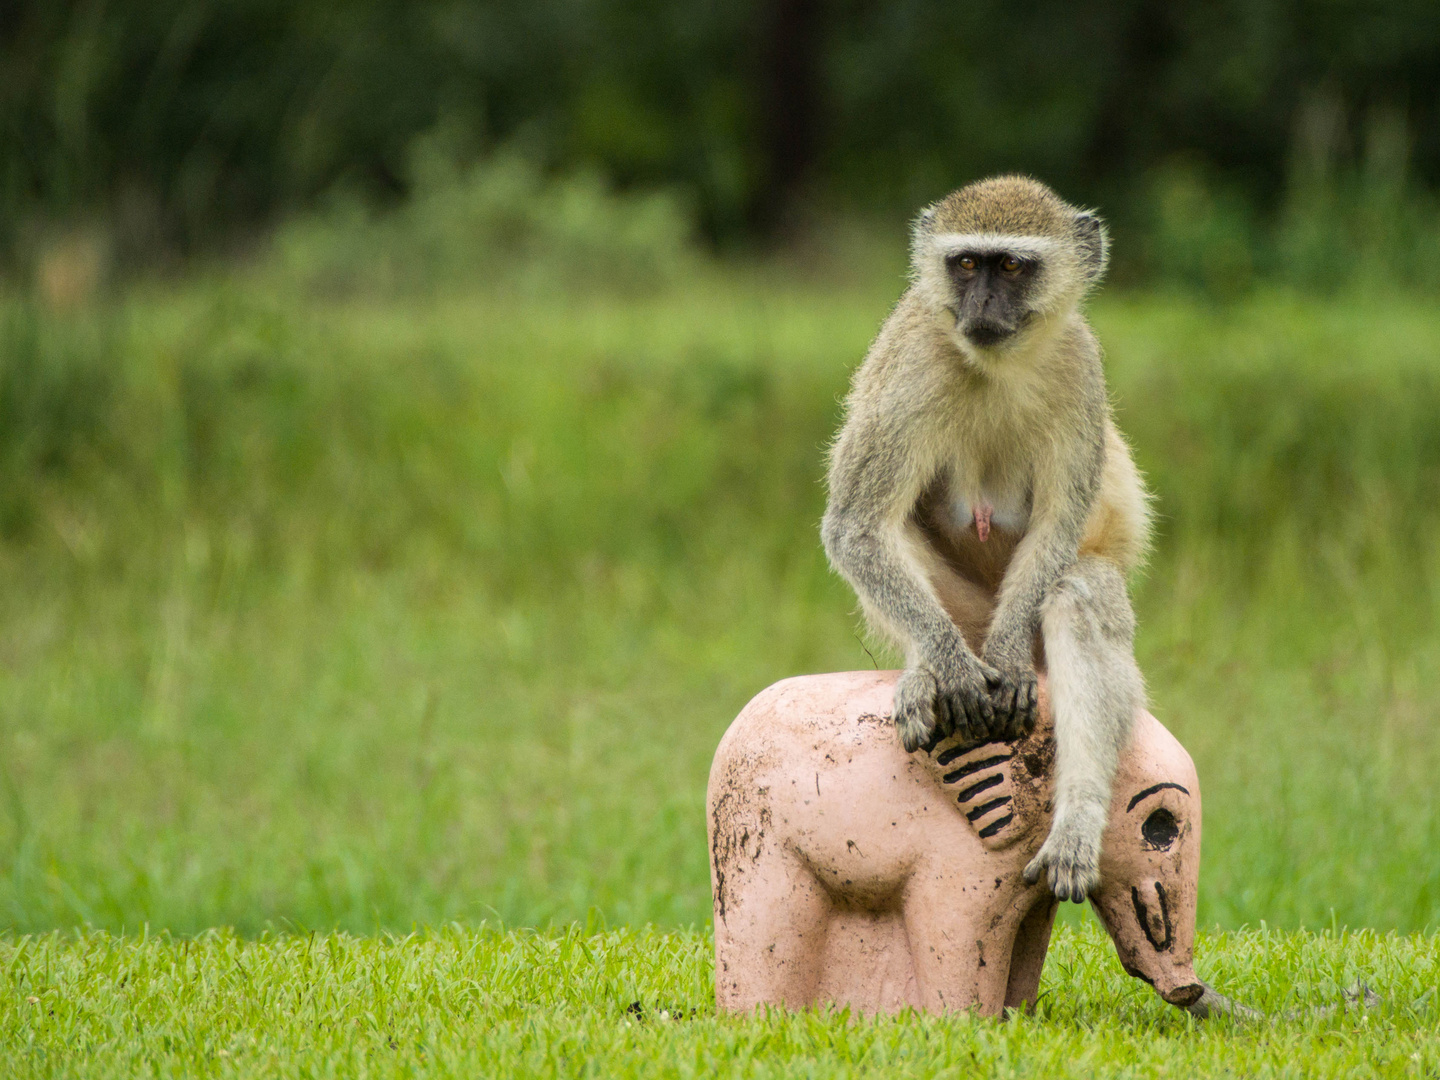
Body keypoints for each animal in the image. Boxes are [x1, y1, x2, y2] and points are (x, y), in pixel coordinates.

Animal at [829, 177, 1152, 904]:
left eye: (1010, 267)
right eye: (967, 264)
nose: (979, 307)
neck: (999, 365)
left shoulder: (1079, 369)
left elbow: (1061, 530)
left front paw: (1003, 659)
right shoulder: (913, 363)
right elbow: (857, 527)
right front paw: (946, 668)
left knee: (1079, 588)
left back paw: (1075, 824)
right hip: (962, 611)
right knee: (896, 525)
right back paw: (927, 670)